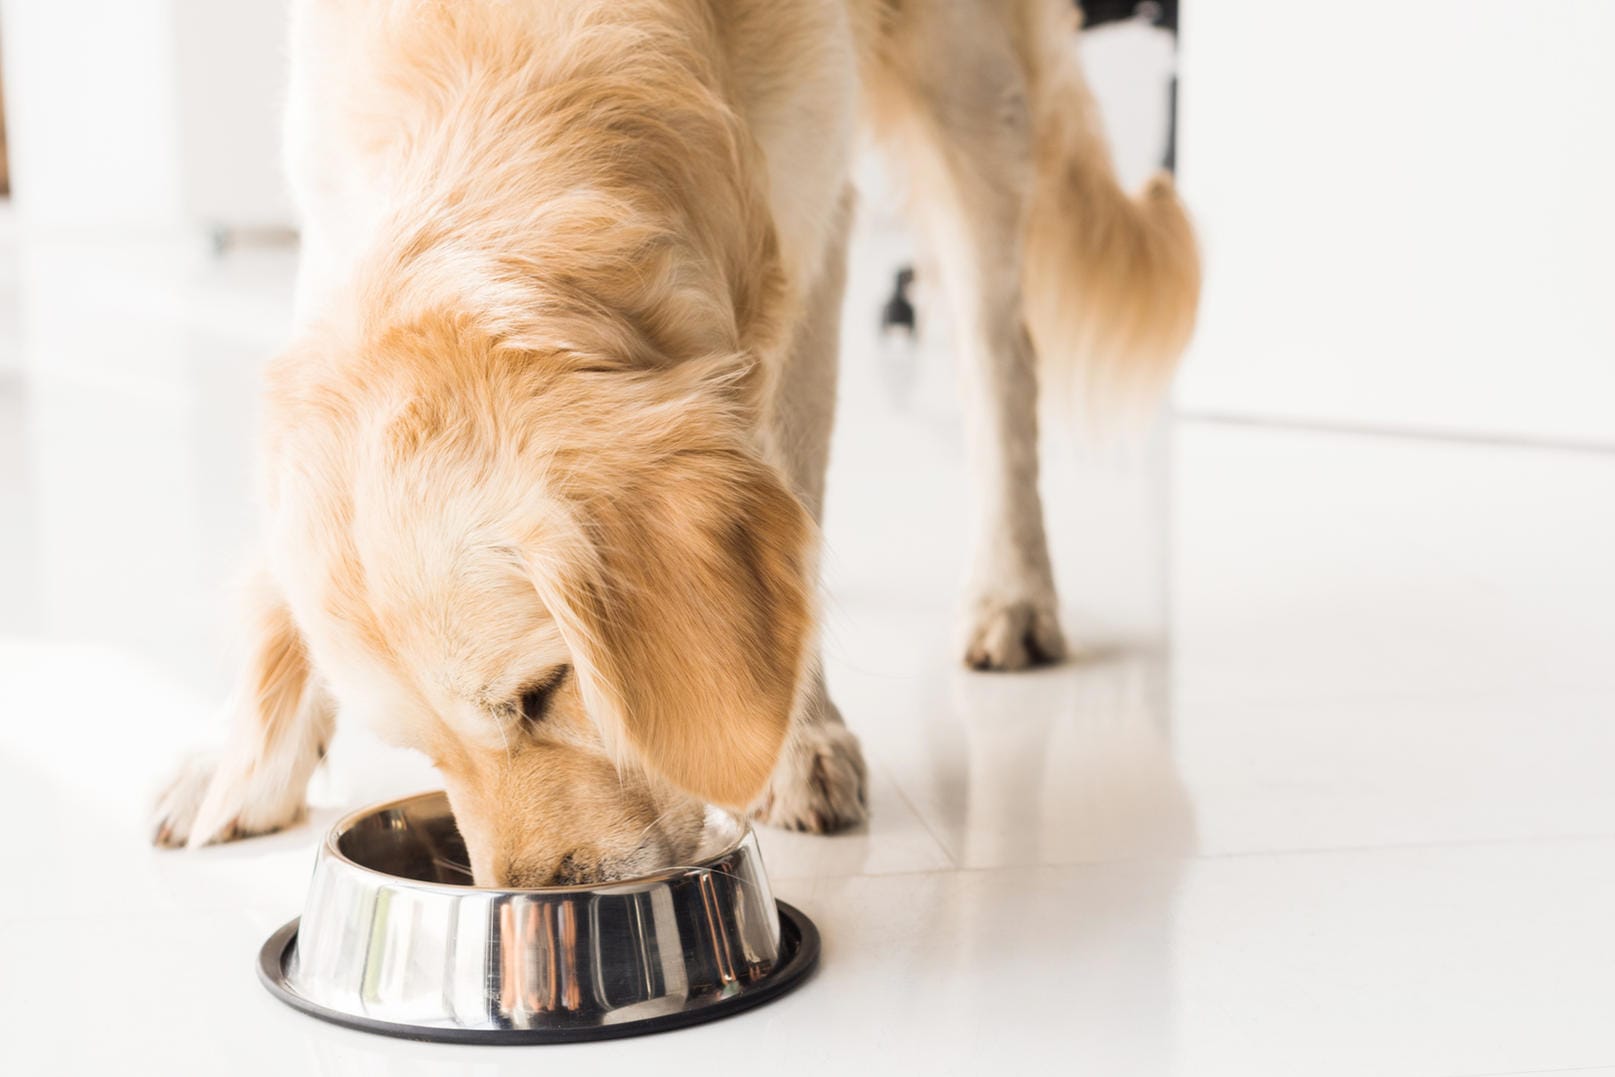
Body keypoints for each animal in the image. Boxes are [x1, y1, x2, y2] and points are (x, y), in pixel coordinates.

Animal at [151, 0, 1195, 884]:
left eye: (543, 692)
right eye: (421, 748)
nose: (533, 898)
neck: (505, 59)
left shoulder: (807, 219)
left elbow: (791, 478)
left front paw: (794, 741)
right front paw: (244, 758)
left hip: (969, 84)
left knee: (999, 356)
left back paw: (1011, 591)